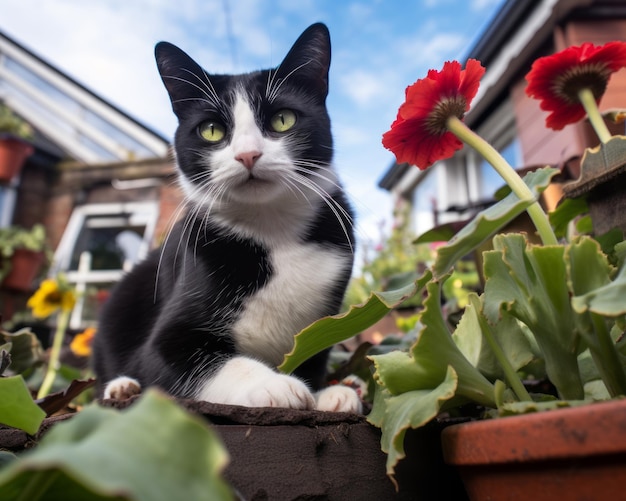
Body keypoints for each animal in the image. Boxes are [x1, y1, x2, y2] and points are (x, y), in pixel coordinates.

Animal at [90, 22, 358, 410]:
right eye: (211, 130)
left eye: (283, 119)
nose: (248, 154)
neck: (271, 231)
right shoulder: (165, 343)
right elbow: (212, 361)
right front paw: (274, 384)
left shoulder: (326, 317)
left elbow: (314, 353)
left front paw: (329, 392)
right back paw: (122, 387)